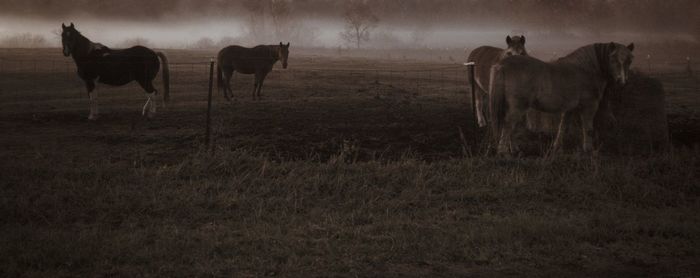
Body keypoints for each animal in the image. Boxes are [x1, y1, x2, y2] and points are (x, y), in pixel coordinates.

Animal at [492, 42, 636, 154]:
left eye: (629, 60)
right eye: (613, 59)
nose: (623, 81)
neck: (586, 69)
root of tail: (503, 64)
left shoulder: (569, 108)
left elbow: (562, 127)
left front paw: (557, 147)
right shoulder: (589, 106)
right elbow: (588, 128)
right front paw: (588, 149)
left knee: (511, 125)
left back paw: (514, 149)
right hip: (518, 106)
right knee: (508, 124)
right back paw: (503, 152)